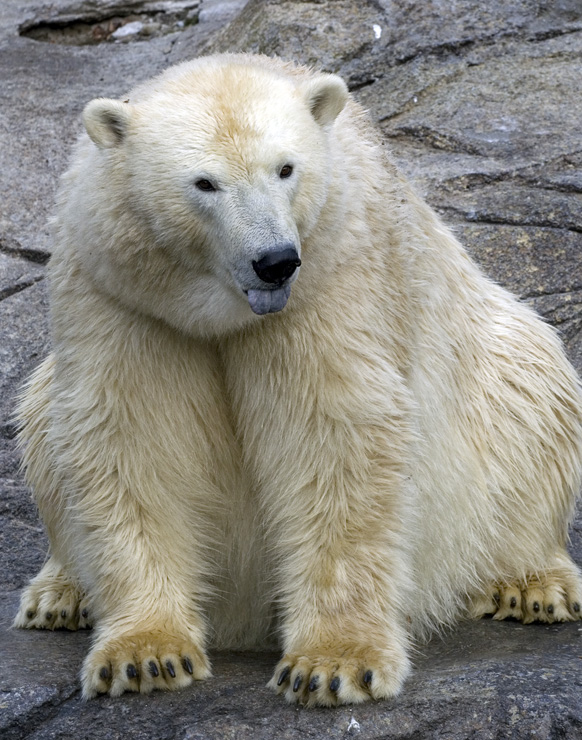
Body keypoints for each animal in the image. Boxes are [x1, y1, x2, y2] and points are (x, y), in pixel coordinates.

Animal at [13, 53, 582, 704]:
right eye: (204, 183)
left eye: (286, 168)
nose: (275, 260)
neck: (222, 310)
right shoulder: (122, 296)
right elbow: (131, 438)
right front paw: (145, 656)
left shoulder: (332, 277)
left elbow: (334, 434)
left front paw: (333, 665)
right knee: (42, 421)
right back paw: (60, 596)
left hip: (493, 369)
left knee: (531, 397)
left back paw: (531, 585)